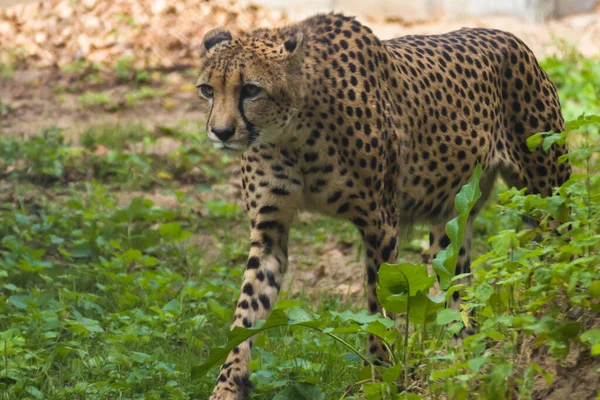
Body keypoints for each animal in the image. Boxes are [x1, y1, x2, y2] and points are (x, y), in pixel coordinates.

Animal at [198, 13, 572, 400]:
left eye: (251, 90)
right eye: (207, 90)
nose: (220, 132)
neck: (291, 133)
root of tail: (507, 36)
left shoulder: (380, 224)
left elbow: (380, 309)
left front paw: (380, 379)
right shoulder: (269, 230)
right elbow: (246, 311)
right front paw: (227, 385)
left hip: (545, 195)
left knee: (562, 249)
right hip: (450, 226)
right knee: (459, 295)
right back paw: (462, 365)